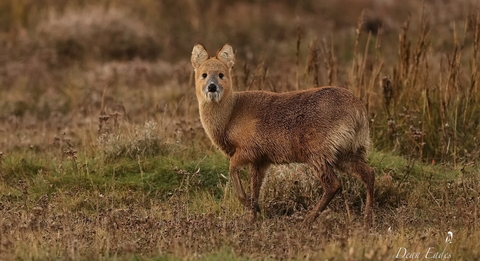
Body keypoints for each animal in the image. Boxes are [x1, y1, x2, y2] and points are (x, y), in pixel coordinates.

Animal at [191, 43, 376, 226]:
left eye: (221, 74)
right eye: (204, 74)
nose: (212, 86)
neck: (230, 118)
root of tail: (359, 112)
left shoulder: (250, 149)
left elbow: (232, 168)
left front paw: (249, 205)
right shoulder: (261, 160)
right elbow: (255, 186)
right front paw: (252, 216)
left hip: (317, 150)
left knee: (334, 184)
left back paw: (307, 220)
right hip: (347, 151)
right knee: (369, 173)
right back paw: (367, 219)